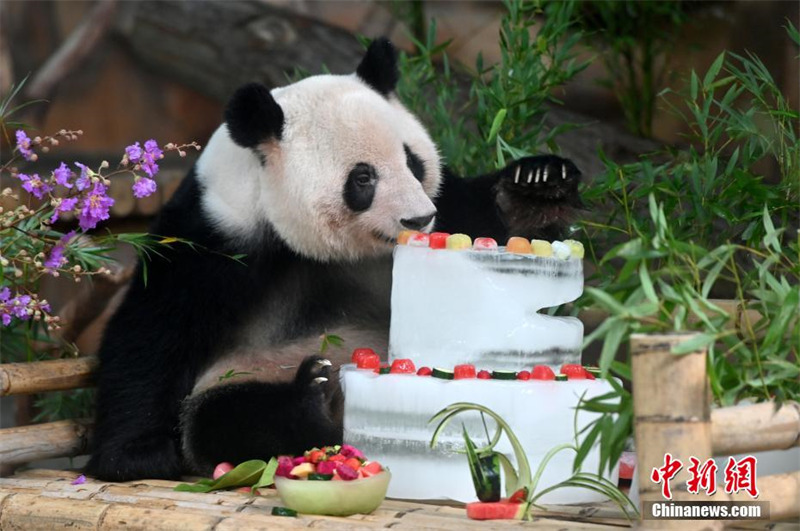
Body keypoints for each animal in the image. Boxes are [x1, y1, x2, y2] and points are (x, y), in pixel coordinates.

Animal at [85, 38, 583, 481]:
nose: (419, 218)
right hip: (250, 370)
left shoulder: (442, 212)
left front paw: (535, 188)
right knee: (223, 417)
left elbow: (483, 222)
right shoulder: (216, 236)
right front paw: (135, 455)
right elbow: (155, 329)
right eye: (362, 178)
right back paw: (312, 399)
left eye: (413, 161)